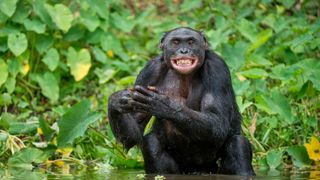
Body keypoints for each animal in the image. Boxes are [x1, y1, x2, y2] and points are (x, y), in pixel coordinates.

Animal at [107, 27, 255, 176]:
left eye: (191, 42)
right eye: (176, 42)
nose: (184, 50)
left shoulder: (217, 68)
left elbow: (218, 120)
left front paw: (164, 105)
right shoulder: (149, 72)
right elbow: (134, 131)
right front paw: (116, 101)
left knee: (237, 144)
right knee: (151, 144)